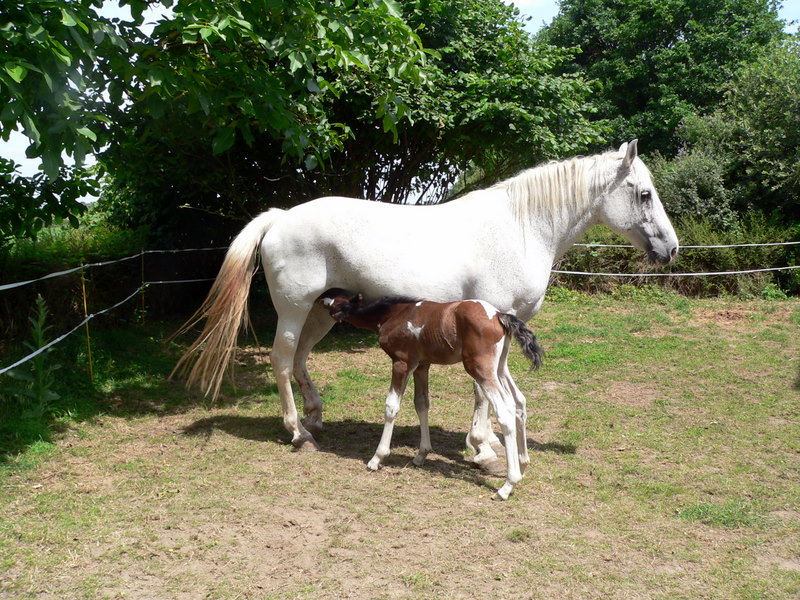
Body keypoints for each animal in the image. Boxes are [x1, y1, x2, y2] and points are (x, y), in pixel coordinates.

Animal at [173, 142, 676, 468]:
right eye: (644, 194)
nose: (671, 249)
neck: (521, 228)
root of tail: (280, 218)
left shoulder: (502, 331)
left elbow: (496, 389)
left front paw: (490, 442)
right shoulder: (487, 320)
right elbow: (483, 391)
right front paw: (484, 447)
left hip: (320, 312)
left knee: (299, 360)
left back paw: (315, 419)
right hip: (295, 310)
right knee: (281, 359)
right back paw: (298, 432)